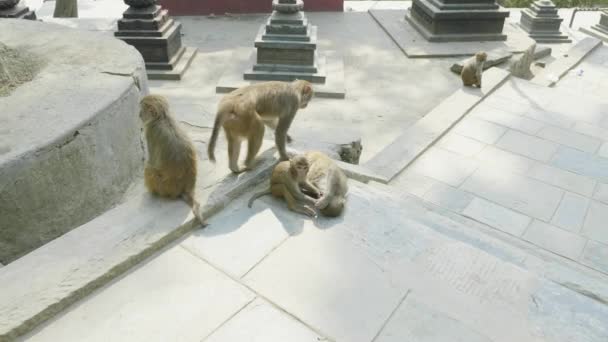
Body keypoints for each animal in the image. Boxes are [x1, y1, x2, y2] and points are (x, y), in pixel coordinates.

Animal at [140, 95, 207, 226]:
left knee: (149, 169)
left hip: (164, 187)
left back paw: (153, 193)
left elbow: (152, 162)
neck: (163, 118)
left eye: (142, 109)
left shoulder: (151, 131)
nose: (139, 114)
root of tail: (185, 188)